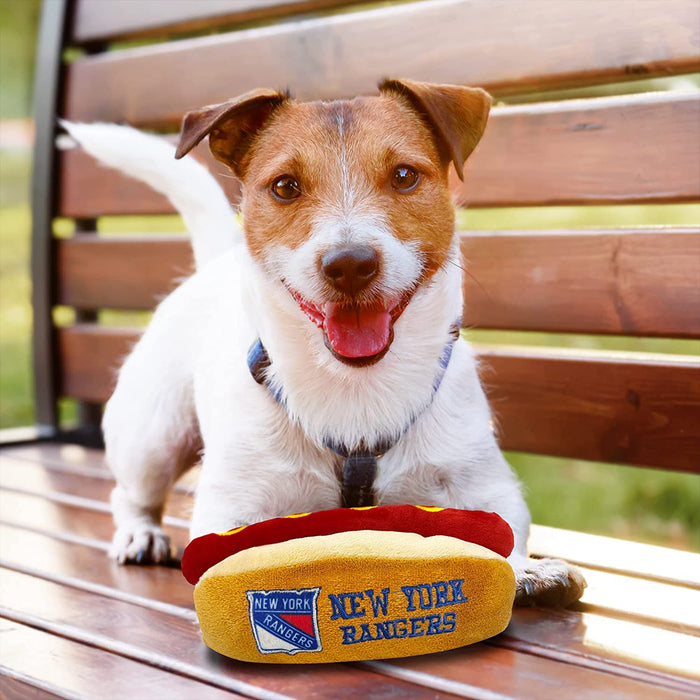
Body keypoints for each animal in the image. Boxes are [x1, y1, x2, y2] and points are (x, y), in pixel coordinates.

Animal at [64, 79, 584, 608]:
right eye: (284, 187)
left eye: (404, 176)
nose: (350, 264)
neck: (355, 387)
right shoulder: (234, 506)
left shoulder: (483, 485)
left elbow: (503, 529)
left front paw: (525, 568)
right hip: (151, 437)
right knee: (131, 494)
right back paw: (140, 533)